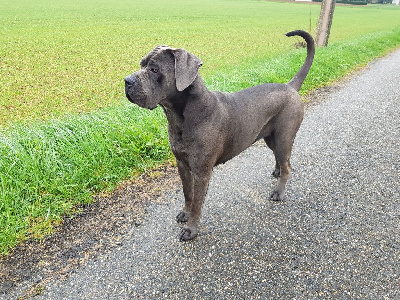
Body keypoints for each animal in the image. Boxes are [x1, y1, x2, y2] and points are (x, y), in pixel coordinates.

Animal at [125, 30, 316, 241]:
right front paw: (185, 213)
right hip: (270, 137)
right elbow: (187, 193)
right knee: (280, 159)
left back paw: (278, 192)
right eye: (141, 64)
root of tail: (290, 86)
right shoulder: (182, 164)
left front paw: (191, 229)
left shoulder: (202, 171)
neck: (182, 116)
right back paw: (277, 172)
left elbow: (197, 202)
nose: (127, 81)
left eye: (154, 69)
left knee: (287, 165)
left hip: (284, 137)